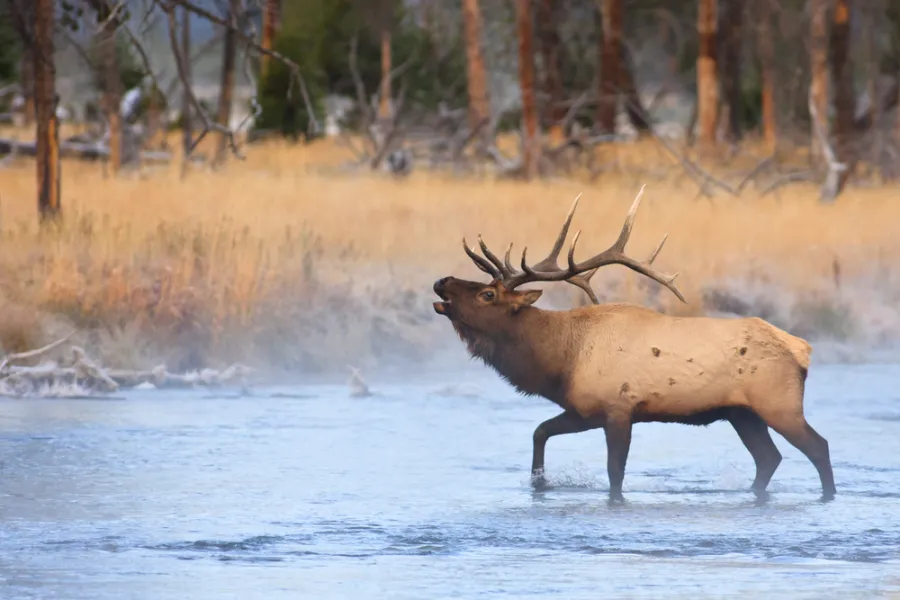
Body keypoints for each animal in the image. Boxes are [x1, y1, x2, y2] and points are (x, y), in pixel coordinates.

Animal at [432, 186, 832, 502]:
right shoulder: (584, 410)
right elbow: (540, 432)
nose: (442, 281)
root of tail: (802, 349)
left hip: (778, 403)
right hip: (741, 413)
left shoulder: (618, 408)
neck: (560, 360)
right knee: (769, 458)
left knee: (818, 447)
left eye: (487, 294)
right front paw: (539, 484)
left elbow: (615, 473)